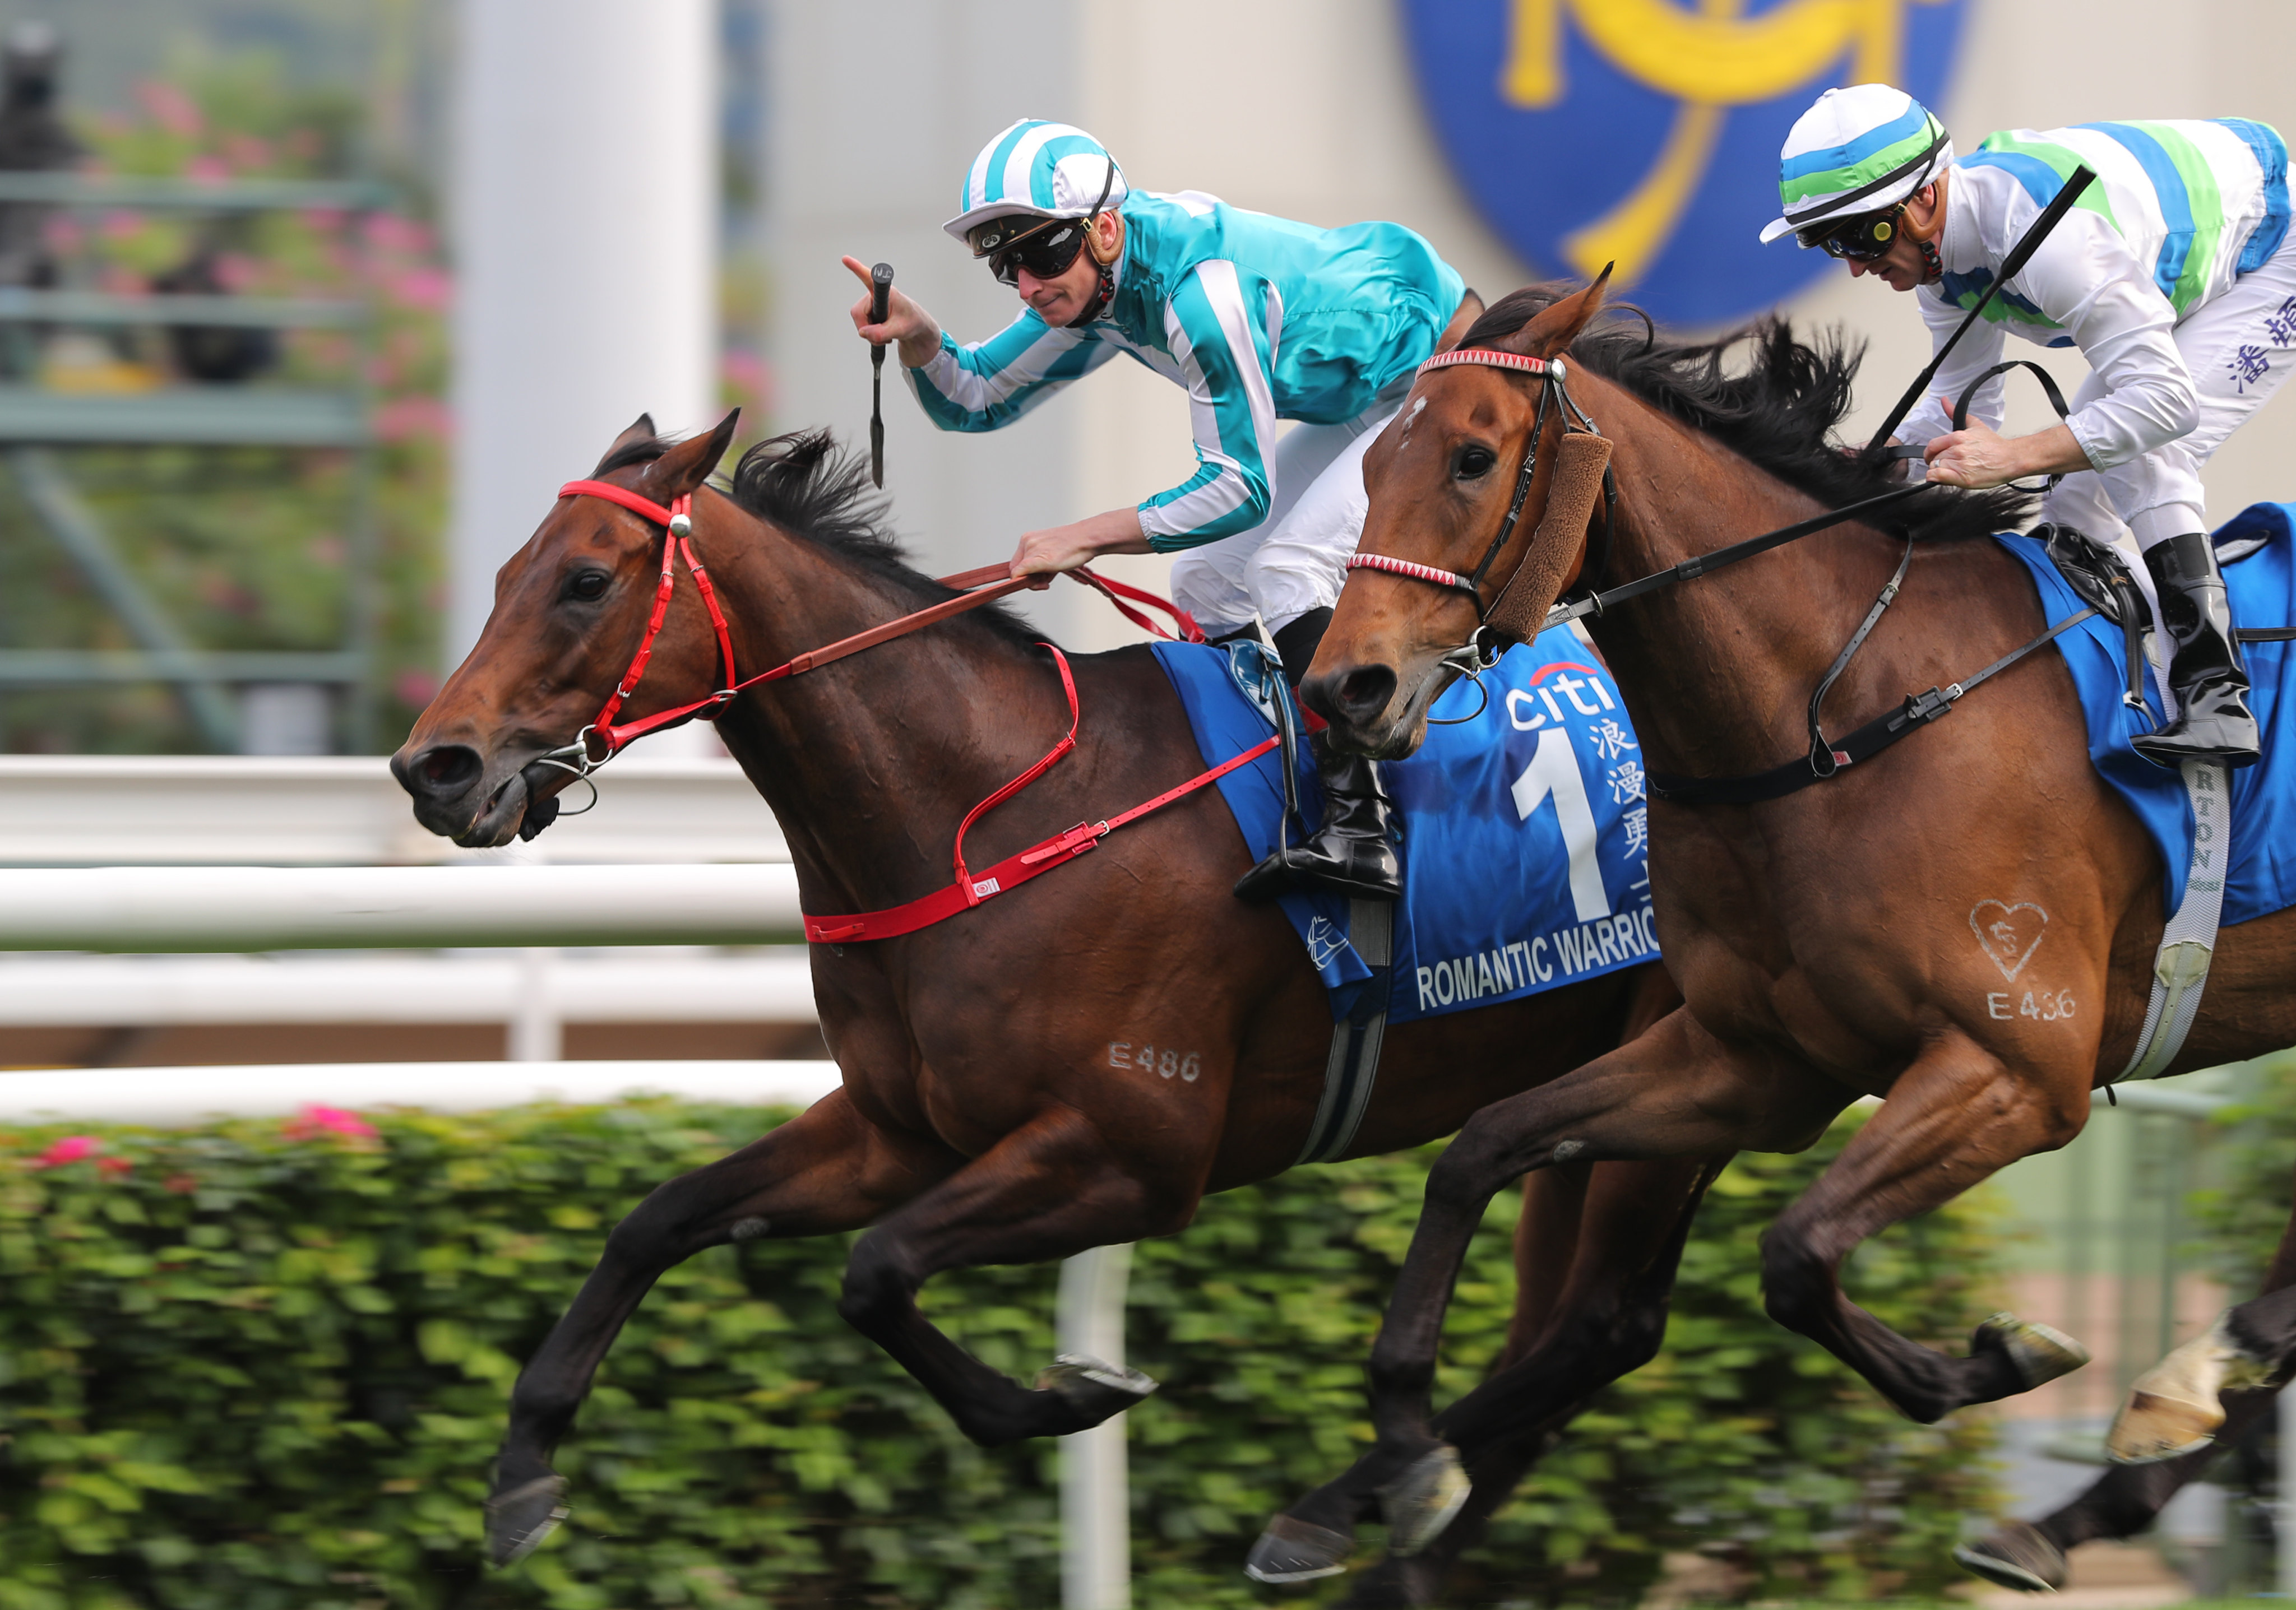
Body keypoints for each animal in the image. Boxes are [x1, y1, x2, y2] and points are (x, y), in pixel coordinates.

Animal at [399, 411, 1726, 1580]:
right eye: (504, 571)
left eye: (583, 581)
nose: (433, 766)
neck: (991, 814)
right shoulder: (899, 1132)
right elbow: (658, 1217)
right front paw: (521, 1467)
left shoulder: (1130, 1151)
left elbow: (878, 1269)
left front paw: (1071, 1392)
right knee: (1564, 1333)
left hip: (1694, 1062)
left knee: (1603, 1323)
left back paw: (1349, 1498)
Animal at [1276, 273, 2296, 1571]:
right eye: (1368, 465)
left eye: (1471, 456)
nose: (1341, 686)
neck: (1836, 712)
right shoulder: (1754, 1059)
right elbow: (1476, 1151)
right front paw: (1399, 1456)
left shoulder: (2018, 1063)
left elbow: (1795, 1255)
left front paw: (1996, 1355)